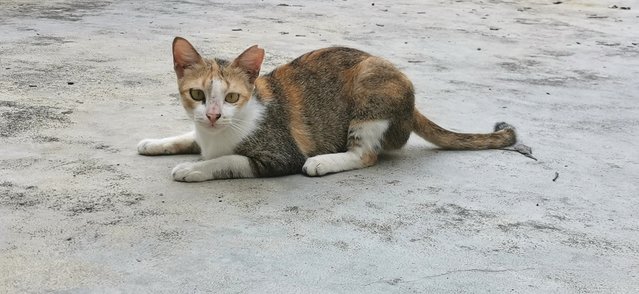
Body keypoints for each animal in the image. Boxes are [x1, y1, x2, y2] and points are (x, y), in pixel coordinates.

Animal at [138, 36, 516, 181]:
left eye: (232, 97)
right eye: (198, 94)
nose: (214, 115)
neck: (218, 134)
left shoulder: (281, 155)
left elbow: (229, 159)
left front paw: (193, 168)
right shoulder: (201, 128)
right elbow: (188, 135)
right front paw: (155, 143)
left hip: (371, 88)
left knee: (366, 155)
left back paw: (324, 161)